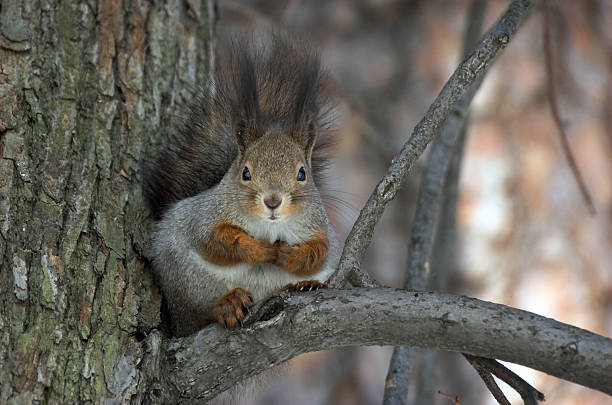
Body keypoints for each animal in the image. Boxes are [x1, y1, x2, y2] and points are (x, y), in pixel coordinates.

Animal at [146, 35, 342, 338]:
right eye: (246, 172)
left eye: (302, 173)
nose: (272, 201)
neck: (270, 227)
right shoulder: (204, 217)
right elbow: (216, 240)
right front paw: (259, 249)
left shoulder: (319, 226)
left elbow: (320, 251)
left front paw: (290, 256)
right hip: (187, 280)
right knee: (199, 311)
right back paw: (228, 303)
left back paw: (303, 285)